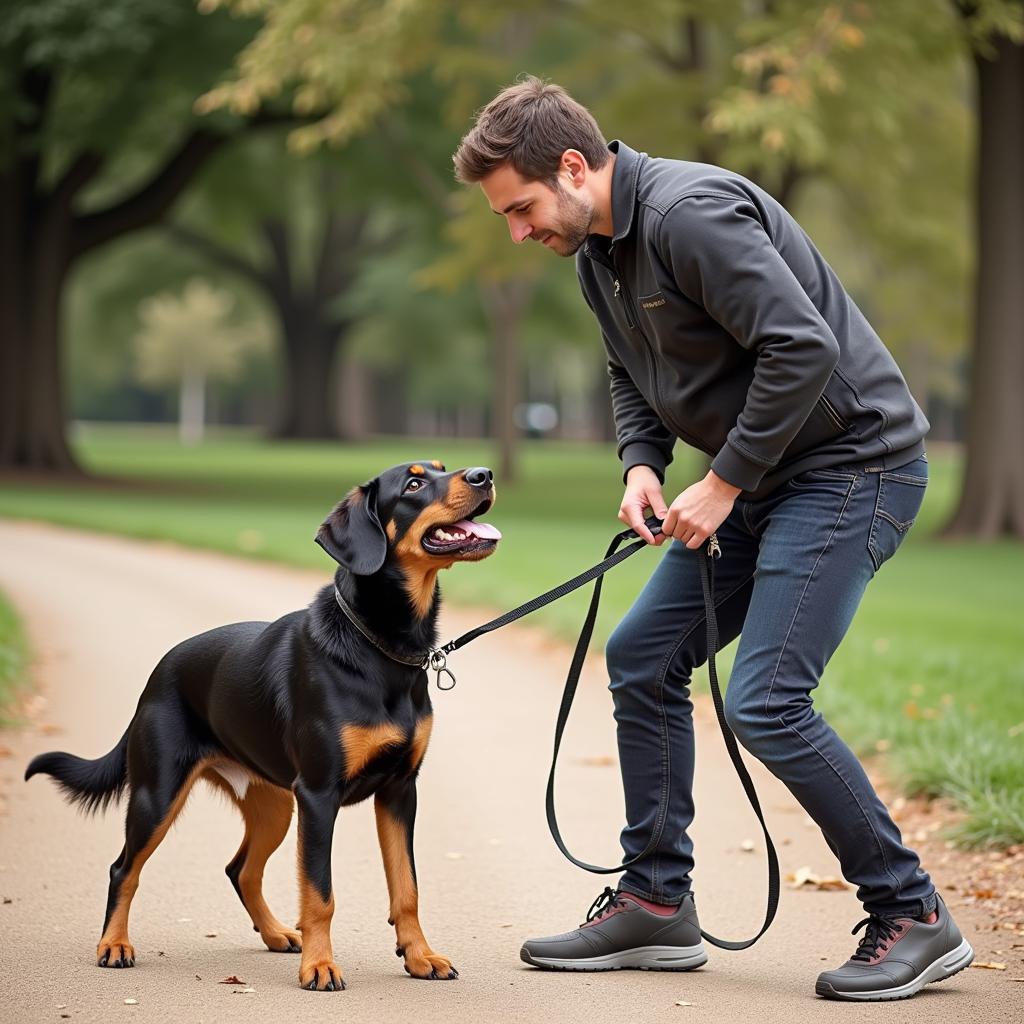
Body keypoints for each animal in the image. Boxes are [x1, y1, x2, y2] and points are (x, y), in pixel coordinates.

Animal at [25, 464, 497, 991]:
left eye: (441, 468)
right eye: (413, 484)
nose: (483, 475)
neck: (382, 649)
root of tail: (158, 673)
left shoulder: (399, 790)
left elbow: (407, 889)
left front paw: (419, 957)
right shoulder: (319, 795)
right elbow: (320, 893)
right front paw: (320, 967)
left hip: (273, 805)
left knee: (241, 870)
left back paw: (276, 934)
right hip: (158, 794)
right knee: (123, 868)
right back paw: (114, 944)